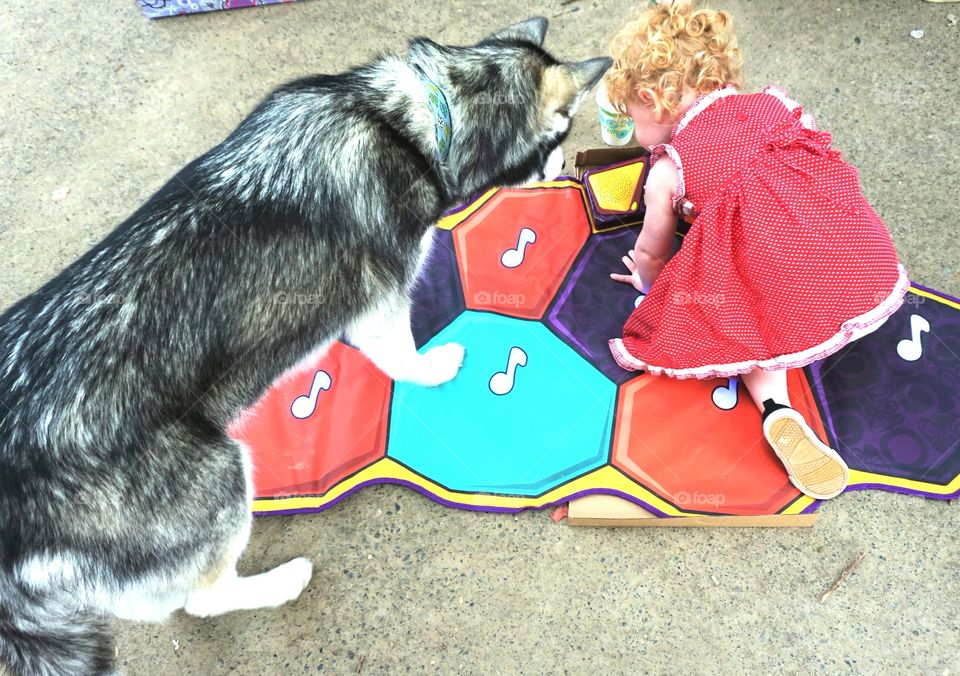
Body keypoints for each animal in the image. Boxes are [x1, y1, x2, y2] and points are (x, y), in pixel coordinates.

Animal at [0, 15, 612, 676]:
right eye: (562, 132)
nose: (567, 166)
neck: (418, 120)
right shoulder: (378, 304)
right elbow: (400, 355)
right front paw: (433, 367)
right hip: (215, 477)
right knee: (201, 598)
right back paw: (281, 582)